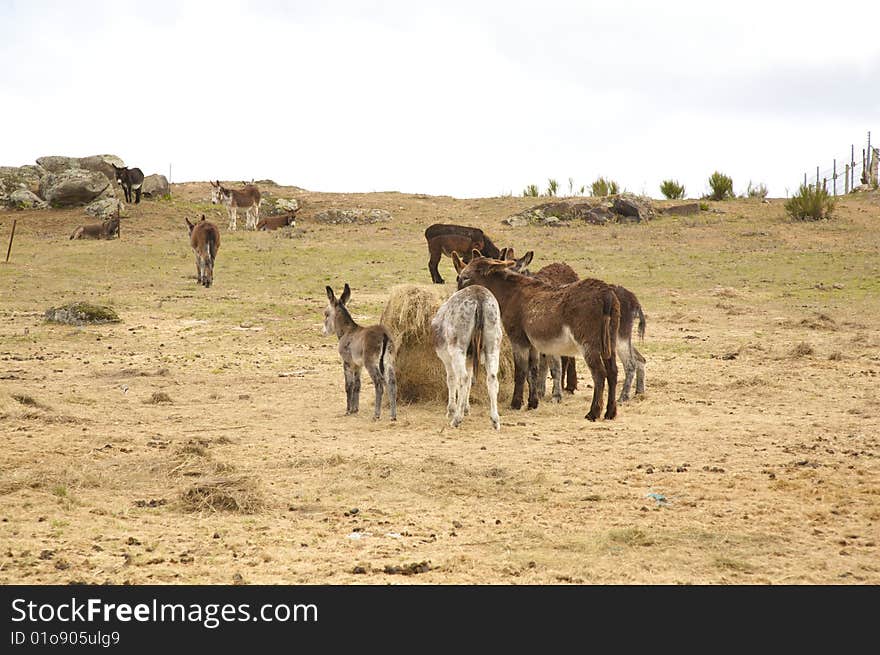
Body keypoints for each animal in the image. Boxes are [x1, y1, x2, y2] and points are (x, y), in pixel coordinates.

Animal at [324, 286, 398, 420]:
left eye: (326, 314)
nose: (324, 332)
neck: (347, 331)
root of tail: (384, 334)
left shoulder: (347, 363)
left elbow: (349, 385)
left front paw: (348, 410)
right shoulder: (358, 366)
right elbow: (357, 385)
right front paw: (355, 409)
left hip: (371, 363)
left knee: (379, 383)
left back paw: (376, 415)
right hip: (388, 361)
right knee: (392, 383)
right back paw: (393, 416)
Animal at [432, 284, 502, 428]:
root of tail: (479, 297)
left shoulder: (446, 358)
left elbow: (452, 380)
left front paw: (451, 410)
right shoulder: (470, 359)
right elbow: (470, 380)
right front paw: (465, 408)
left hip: (458, 347)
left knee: (462, 378)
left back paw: (456, 419)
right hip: (493, 344)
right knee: (492, 378)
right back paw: (495, 420)